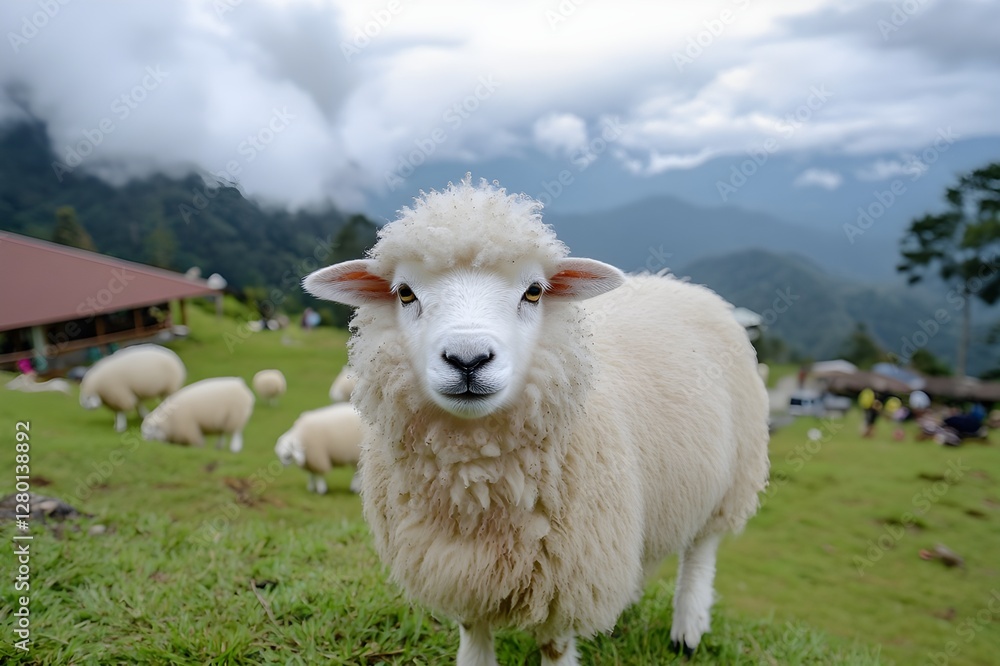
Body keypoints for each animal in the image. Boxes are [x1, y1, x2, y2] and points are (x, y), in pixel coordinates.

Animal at [303, 177, 770, 666]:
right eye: (405, 292)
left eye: (534, 291)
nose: (468, 359)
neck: (476, 485)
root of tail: (683, 286)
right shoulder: (456, 567)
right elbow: (473, 629)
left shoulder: (570, 574)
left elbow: (555, 643)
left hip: (733, 474)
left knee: (702, 550)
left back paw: (688, 627)